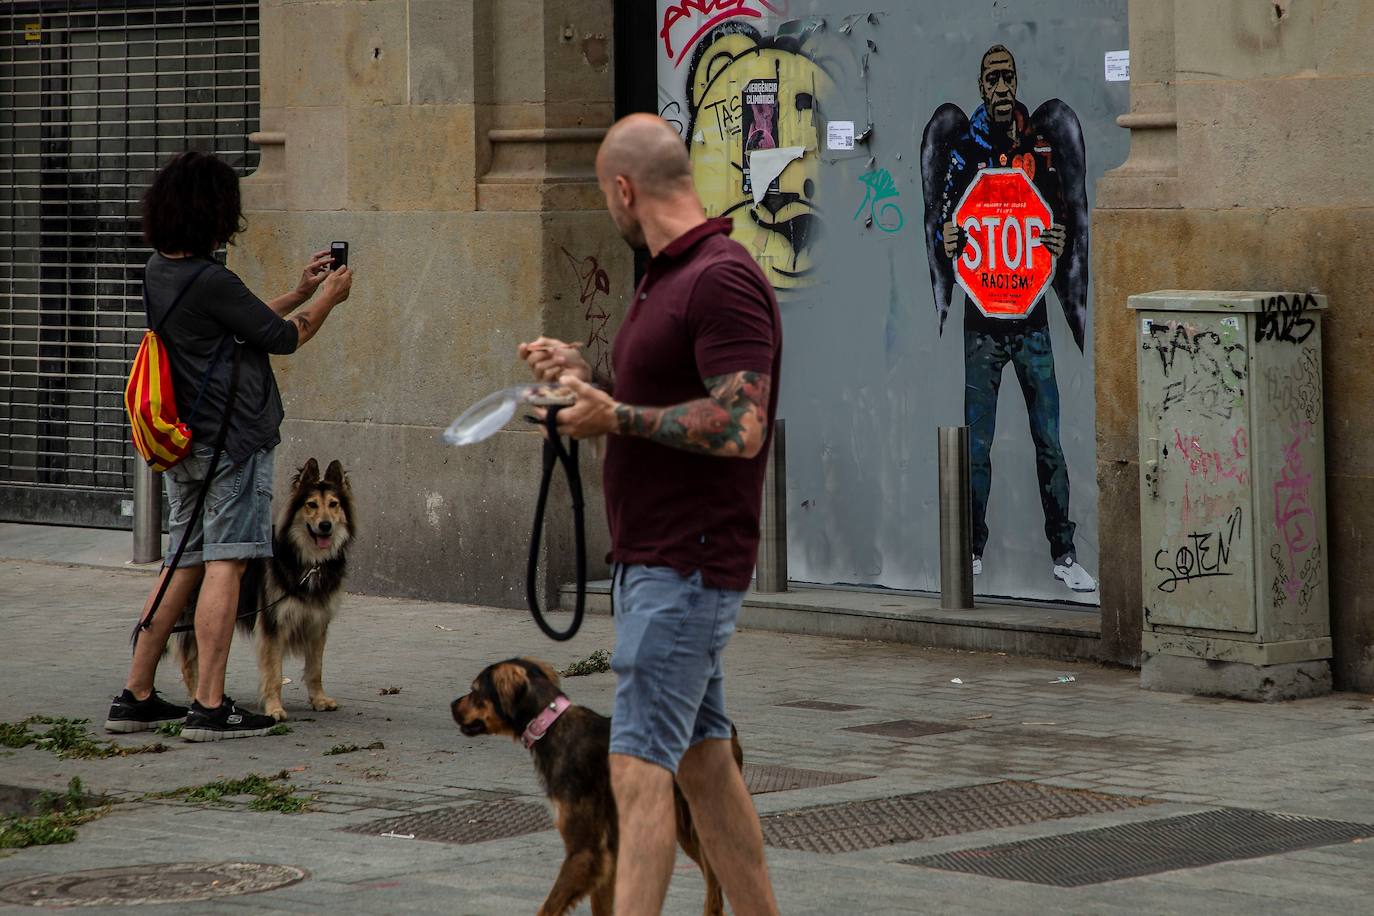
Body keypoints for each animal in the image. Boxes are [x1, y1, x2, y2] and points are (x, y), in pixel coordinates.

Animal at [177, 455, 354, 719]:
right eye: (311, 505)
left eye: (334, 504)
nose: (325, 526)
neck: (309, 561)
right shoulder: (272, 625)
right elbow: (274, 673)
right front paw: (274, 708)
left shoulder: (317, 623)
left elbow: (315, 668)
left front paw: (319, 699)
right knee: (190, 661)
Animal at [453, 659, 747, 916]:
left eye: (474, 690)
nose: (452, 704)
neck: (551, 727)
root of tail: (726, 726)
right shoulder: (607, 859)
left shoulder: (586, 852)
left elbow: (547, 908)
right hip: (686, 828)